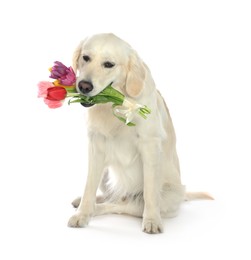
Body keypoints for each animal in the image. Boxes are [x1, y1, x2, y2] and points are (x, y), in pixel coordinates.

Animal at [67, 33, 212, 234]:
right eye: (86, 58)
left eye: (109, 64)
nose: (84, 86)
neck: (116, 104)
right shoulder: (96, 145)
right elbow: (89, 186)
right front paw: (82, 214)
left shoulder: (149, 145)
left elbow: (150, 192)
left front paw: (152, 220)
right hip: (106, 173)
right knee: (112, 197)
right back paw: (84, 202)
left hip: (165, 196)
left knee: (121, 204)